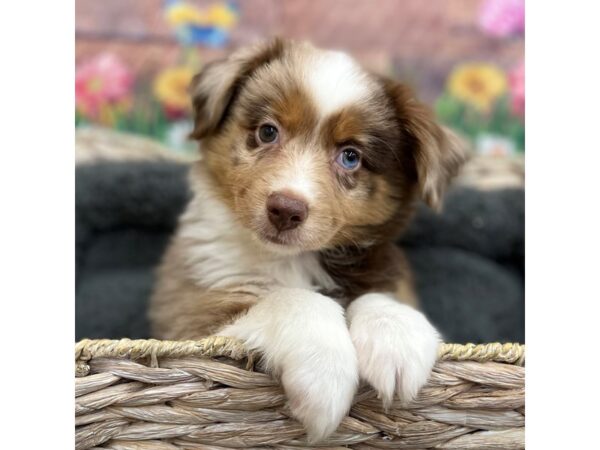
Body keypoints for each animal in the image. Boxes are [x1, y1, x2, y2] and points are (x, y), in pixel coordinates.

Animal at [149, 39, 464, 442]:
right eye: (268, 132)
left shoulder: (381, 271)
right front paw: (325, 373)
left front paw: (396, 337)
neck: (293, 258)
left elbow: (377, 295)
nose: (285, 210)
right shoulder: (190, 313)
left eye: (350, 156)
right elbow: (291, 299)